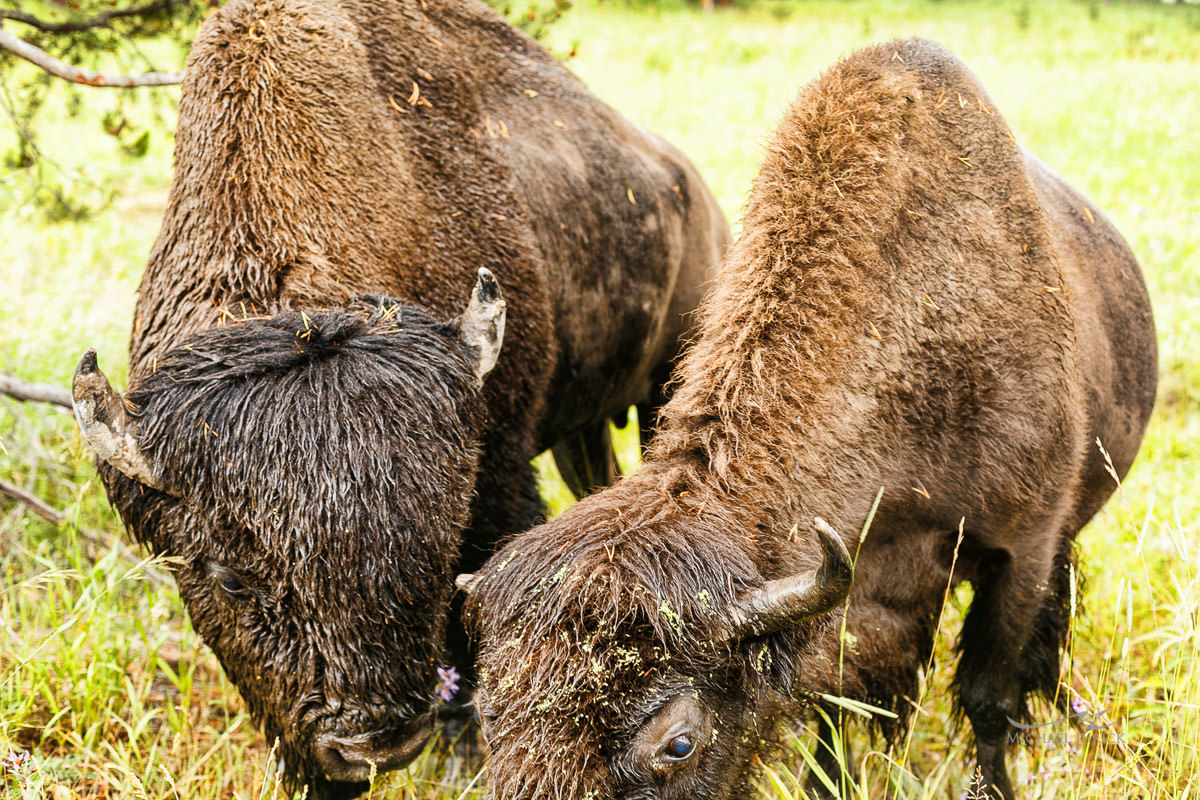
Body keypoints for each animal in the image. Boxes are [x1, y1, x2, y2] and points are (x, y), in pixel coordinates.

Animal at [72, 0, 720, 796]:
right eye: (230, 579)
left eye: (441, 545)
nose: (378, 746)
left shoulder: (497, 472)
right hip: (586, 427)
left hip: (666, 384)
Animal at [458, 38, 1152, 800]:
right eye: (488, 712)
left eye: (678, 743)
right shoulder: (849, 607)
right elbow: (834, 713)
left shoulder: (1021, 552)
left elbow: (987, 699)